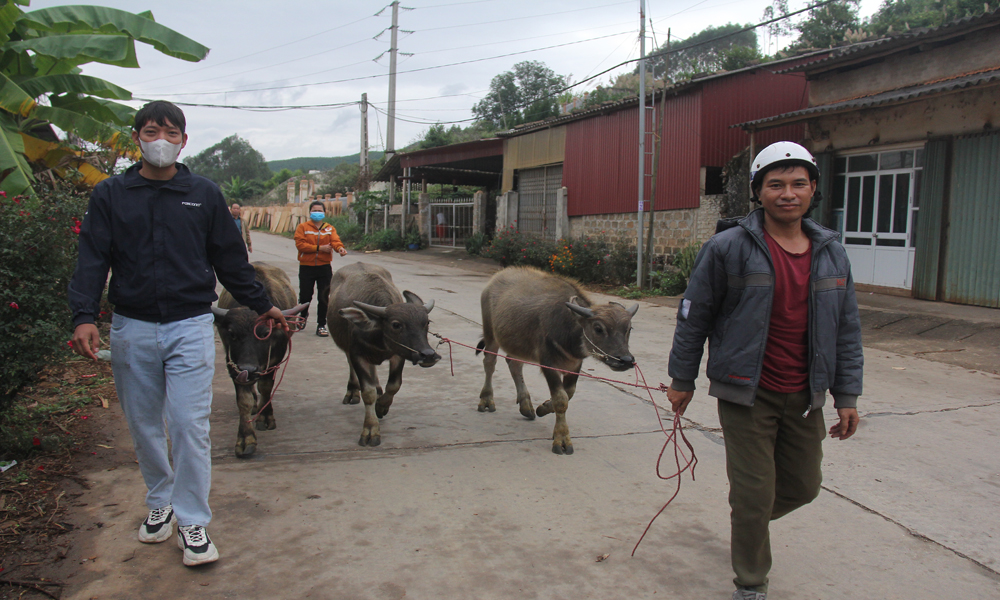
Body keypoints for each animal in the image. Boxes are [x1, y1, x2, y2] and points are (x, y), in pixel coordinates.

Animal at [218, 262, 308, 454]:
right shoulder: (232, 364)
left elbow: (266, 387)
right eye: (232, 334)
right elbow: (243, 400)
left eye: (265, 333)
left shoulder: (274, 359)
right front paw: (245, 439)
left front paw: (266, 418)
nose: (248, 369)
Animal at [326, 262, 440, 446]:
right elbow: (368, 392)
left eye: (427, 322)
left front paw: (381, 406)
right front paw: (370, 429)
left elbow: (394, 385)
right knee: (351, 367)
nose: (428, 355)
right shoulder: (357, 355)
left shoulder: (398, 355)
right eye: (396, 324)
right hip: (346, 348)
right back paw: (352, 391)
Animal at [478, 268, 636, 454]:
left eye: (629, 329)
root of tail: (495, 279)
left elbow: (569, 393)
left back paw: (526, 406)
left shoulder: (574, 365)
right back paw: (486, 400)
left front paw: (544, 407)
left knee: (514, 365)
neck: (568, 329)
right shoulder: (548, 363)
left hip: (517, 345)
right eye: (598, 328)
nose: (625, 360)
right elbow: (561, 399)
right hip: (490, 334)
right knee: (489, 363)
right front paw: (562, 439)